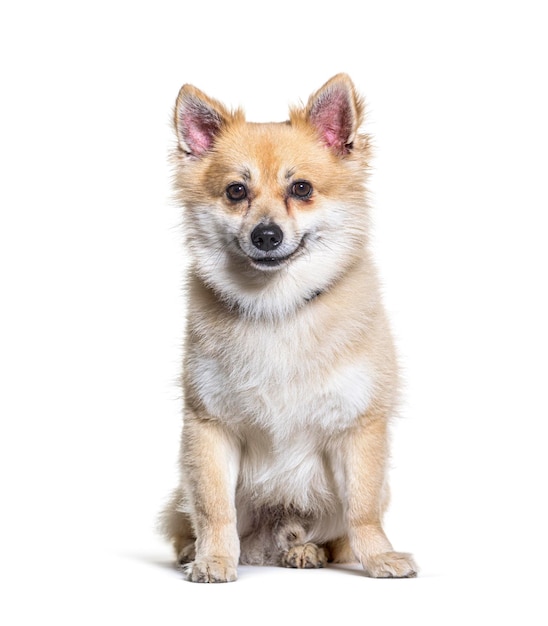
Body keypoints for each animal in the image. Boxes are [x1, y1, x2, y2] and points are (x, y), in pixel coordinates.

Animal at [161, 73, 418, 580]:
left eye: (301, 188)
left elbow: (362, 508)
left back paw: (306, 549)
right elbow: (214, 507)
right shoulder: (209, 427)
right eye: (236, 192)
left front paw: (379, 556)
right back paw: (195, 550)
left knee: (331, 531)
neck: (276, 308)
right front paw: (214, 558)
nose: (266, 235)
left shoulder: (358, 426)